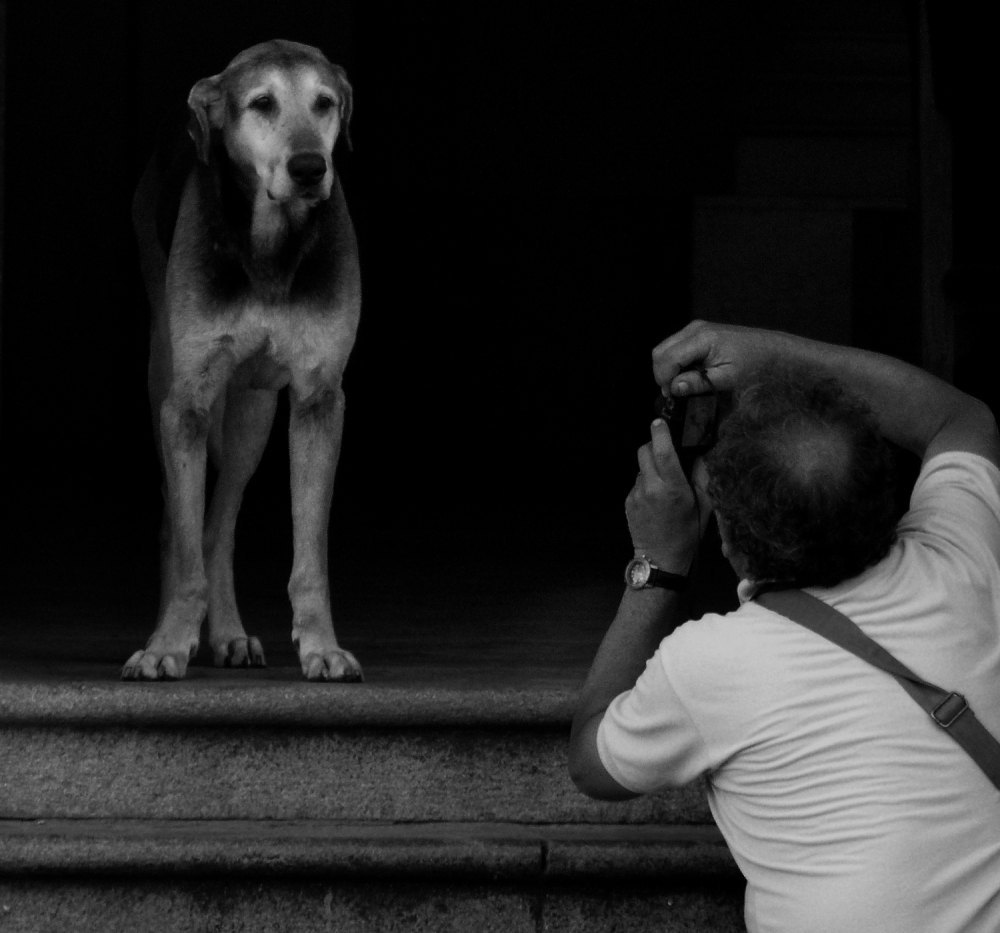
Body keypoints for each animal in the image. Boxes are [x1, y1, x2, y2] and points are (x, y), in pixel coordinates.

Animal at [121, 41, 364, 684]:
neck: (270, 248)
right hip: (168, 387)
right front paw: (166, 645)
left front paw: (322, 647)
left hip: (252, 417)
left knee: (218, 526)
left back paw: (228, 635)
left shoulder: (319, 401)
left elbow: (310, 556)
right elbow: (184, 550)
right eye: (261, 104)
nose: (309, 169)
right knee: (179, 527)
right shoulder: (185, 404)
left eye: (325, 103)